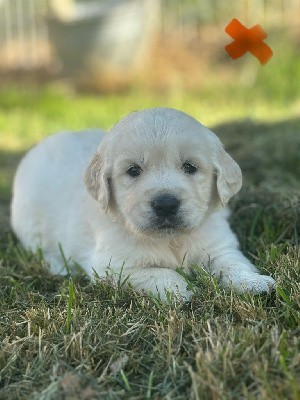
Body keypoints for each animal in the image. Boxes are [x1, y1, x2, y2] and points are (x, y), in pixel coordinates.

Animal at [11, 107, 274, 300]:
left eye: (190, 167)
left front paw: (253, 282)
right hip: (30, 226)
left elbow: (233, 263)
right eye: (133, 170)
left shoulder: (218, 246)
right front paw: (181, 290)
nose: (166, 204)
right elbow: (159, 274)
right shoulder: (114, 266)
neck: (171, 239)